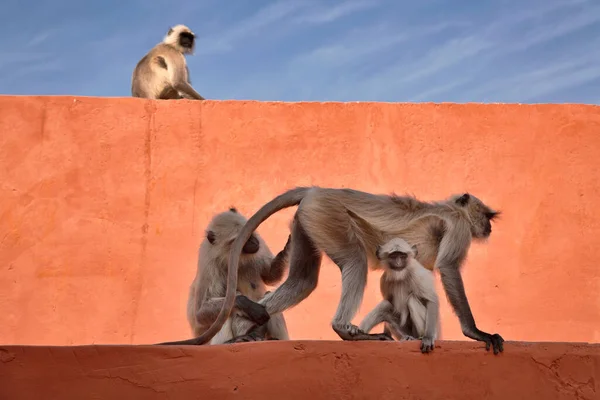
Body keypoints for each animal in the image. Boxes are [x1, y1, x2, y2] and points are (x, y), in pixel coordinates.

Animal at [159, 208, 290, 346]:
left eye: (249, 232)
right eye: (240, 240)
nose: (254, 241)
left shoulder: (260, 246)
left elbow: (270, 275)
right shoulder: (209, 264)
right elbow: (201, 312)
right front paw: (250, 307)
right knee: (228, 311)